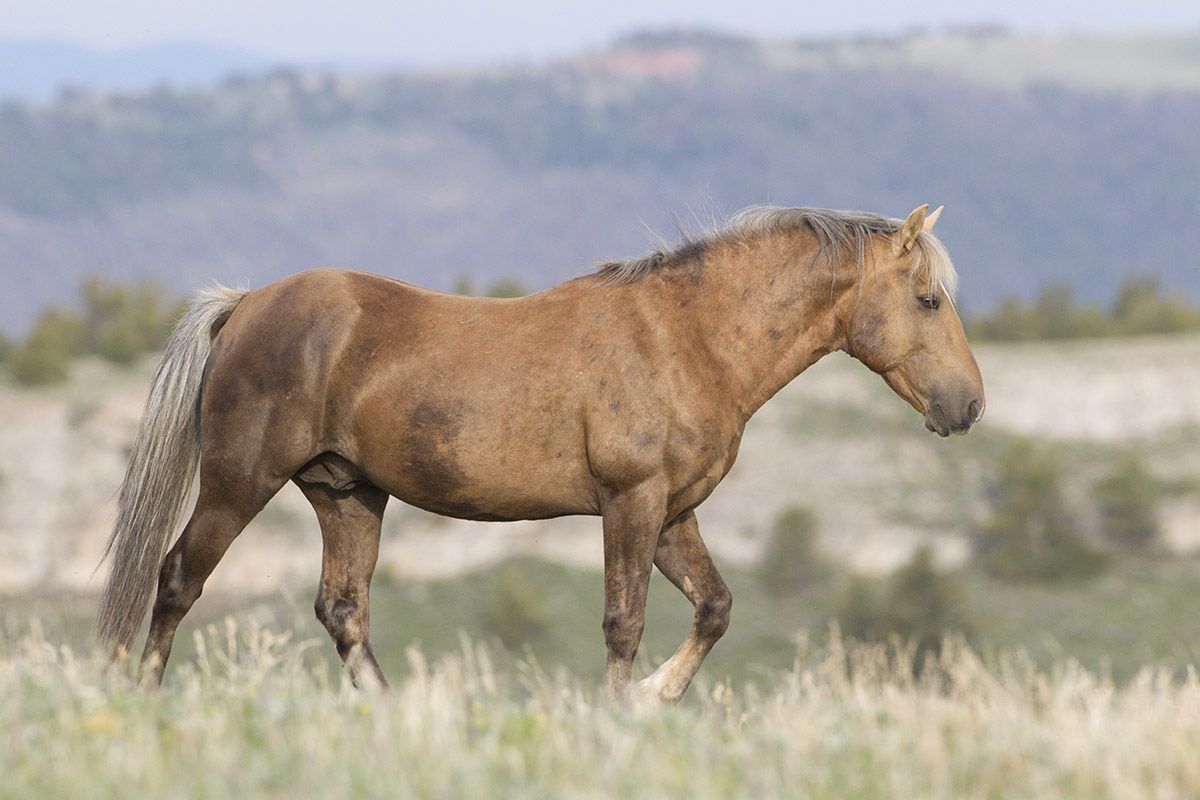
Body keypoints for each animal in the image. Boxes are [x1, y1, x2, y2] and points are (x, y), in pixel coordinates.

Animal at [98, 201, 984, 700]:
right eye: (926, 299)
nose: (969, 405)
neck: (687, 338)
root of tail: (246, 304)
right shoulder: (631, 502)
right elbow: (624, 622)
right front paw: (619, 716)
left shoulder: (673, 513)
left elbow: (716, 608)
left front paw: (655, 698)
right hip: (239, 482)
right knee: (176, 581)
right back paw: (142, 700)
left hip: (346, 494)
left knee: (343, 610)